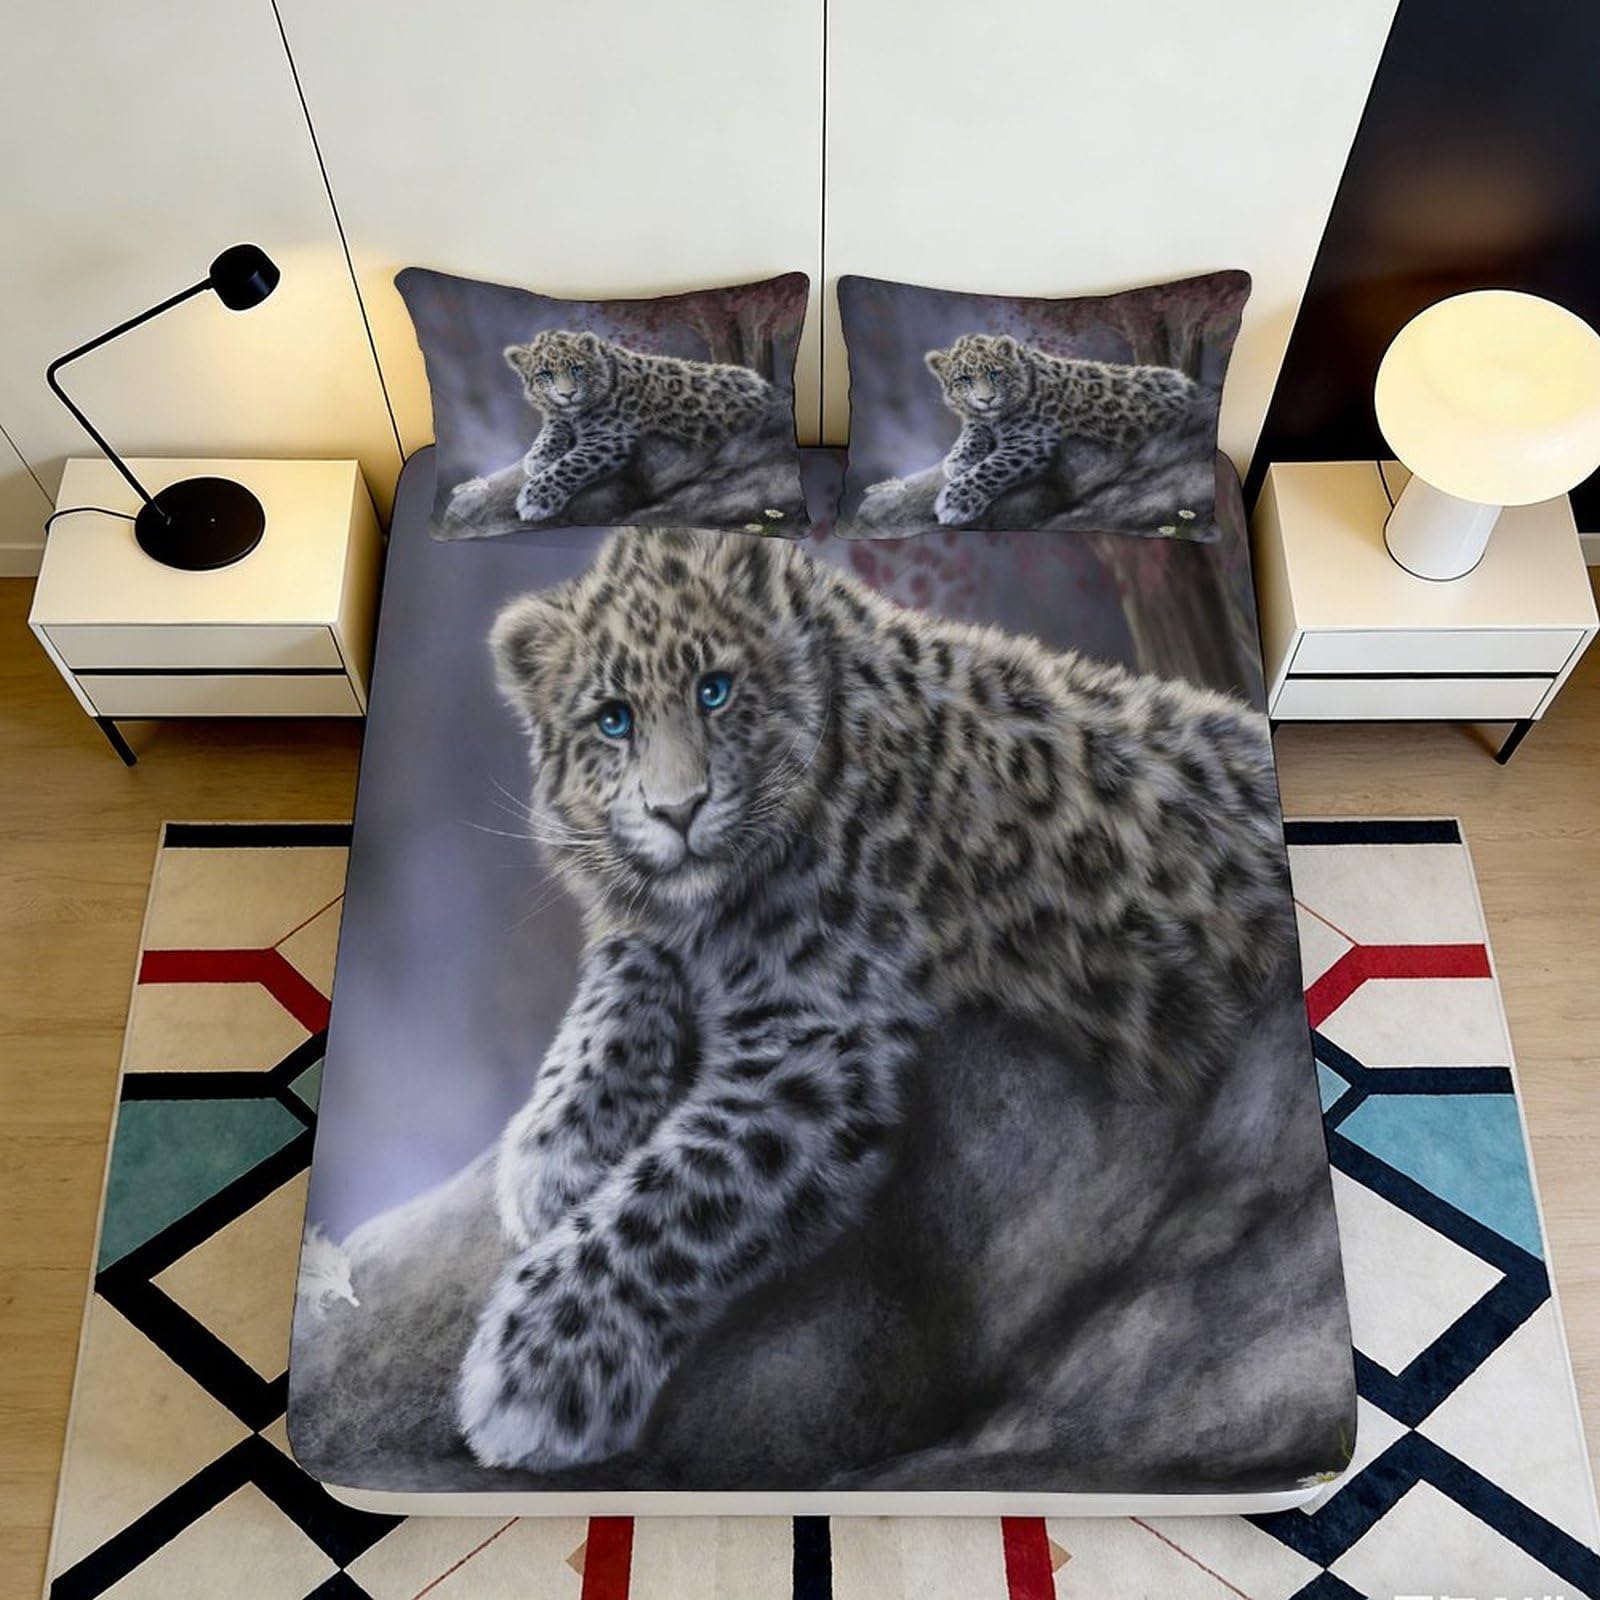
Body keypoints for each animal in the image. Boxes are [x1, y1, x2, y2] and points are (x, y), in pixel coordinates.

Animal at [458, 526, 1293, 1472]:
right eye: (613, 719)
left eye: (715, 690)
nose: (678, 811)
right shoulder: (662, 933)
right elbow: (618, 973)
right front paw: (553, 1150)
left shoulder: (817, 1045)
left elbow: (669, 1196)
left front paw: (534, 1364)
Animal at [502, 330, 777, 523]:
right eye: (545, 374)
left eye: (576, 368)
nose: (567, 394)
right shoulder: (559, 416)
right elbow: (551, 428)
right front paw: (538, 456)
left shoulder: (609, 436)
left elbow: (570, 464)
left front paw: (535, 499)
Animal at [924, 332, 1203, 527]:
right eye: (964, 379)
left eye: (994, 374)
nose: (986, 399)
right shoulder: (982, 420)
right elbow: (973, 428)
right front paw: (958, 458)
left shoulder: (1029, 440)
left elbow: (990, 468)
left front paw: (955, 502)